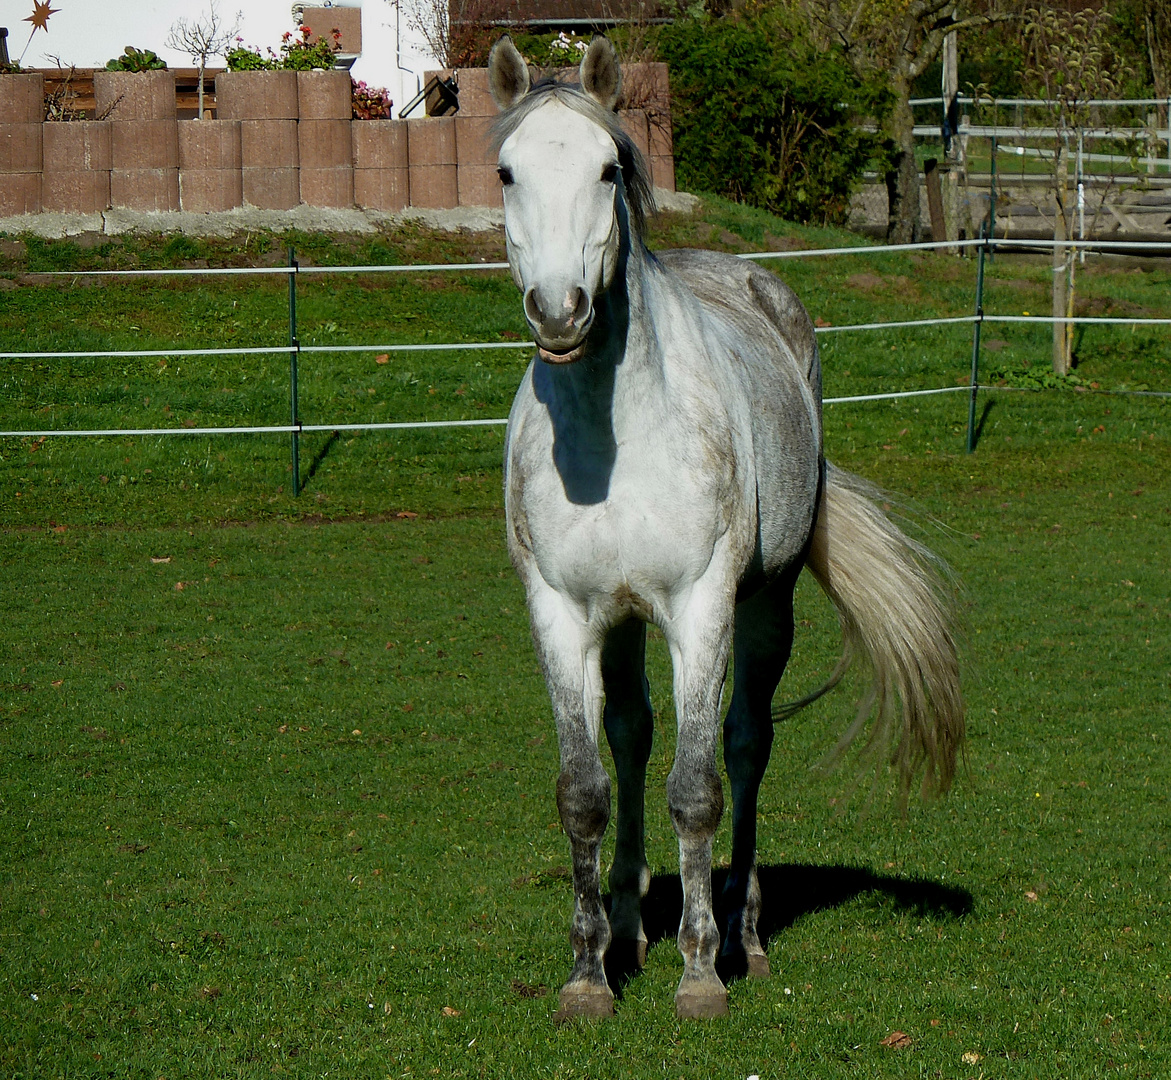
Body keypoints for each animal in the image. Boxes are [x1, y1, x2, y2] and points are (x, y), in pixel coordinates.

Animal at [489, 35, 964, 1016]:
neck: (612, 442)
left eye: (606, 168)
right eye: (507, 171)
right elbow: (584, 789)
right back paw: (630, 927)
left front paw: (701, 972)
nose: (558, 311)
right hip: (623, 623)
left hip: (764, 607)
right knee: (631, 737)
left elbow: (698, 788)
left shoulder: (701, 606)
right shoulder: (560, 612)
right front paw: (588, 974)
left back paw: (742, 931)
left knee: (747, 747)